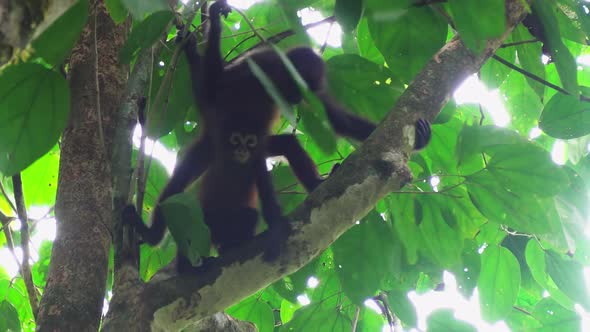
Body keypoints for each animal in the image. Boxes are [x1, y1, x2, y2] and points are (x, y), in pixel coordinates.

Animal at [125, 0, 432, 272]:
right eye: (296, 84)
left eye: (304, 89)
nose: (296, 98)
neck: (275, 77)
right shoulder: (258, 63)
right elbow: (214, 87)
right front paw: (212, 20)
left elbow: (336, 119)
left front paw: (418, 136)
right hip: (207, 149)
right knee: (178, 185)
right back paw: (153, 234)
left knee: (287, 144)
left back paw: (318, 184)